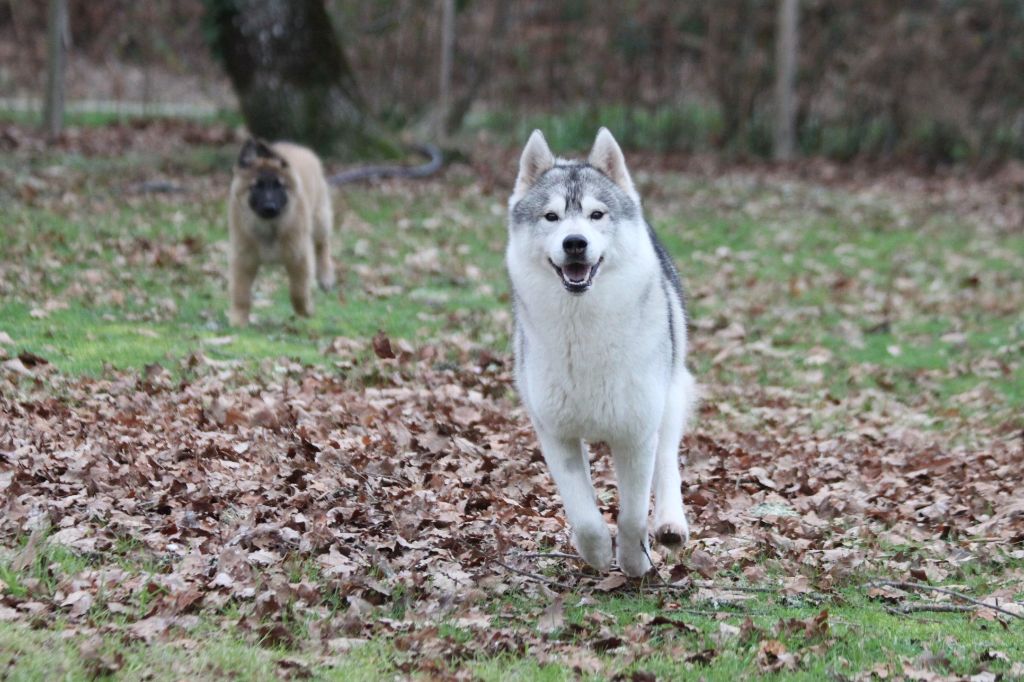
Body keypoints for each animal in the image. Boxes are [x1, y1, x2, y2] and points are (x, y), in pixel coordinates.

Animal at [227, 137, 331, 325]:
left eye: (279, 186)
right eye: (256, 186)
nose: (270, 207)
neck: (269, 228)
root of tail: (295, 147)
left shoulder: (299, 258)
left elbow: (298, 291)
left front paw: (306, 311)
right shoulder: (243, 260)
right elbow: (241, 293)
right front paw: (239, 319)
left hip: (320, 218)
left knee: (322, 245)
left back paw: (326, 276)